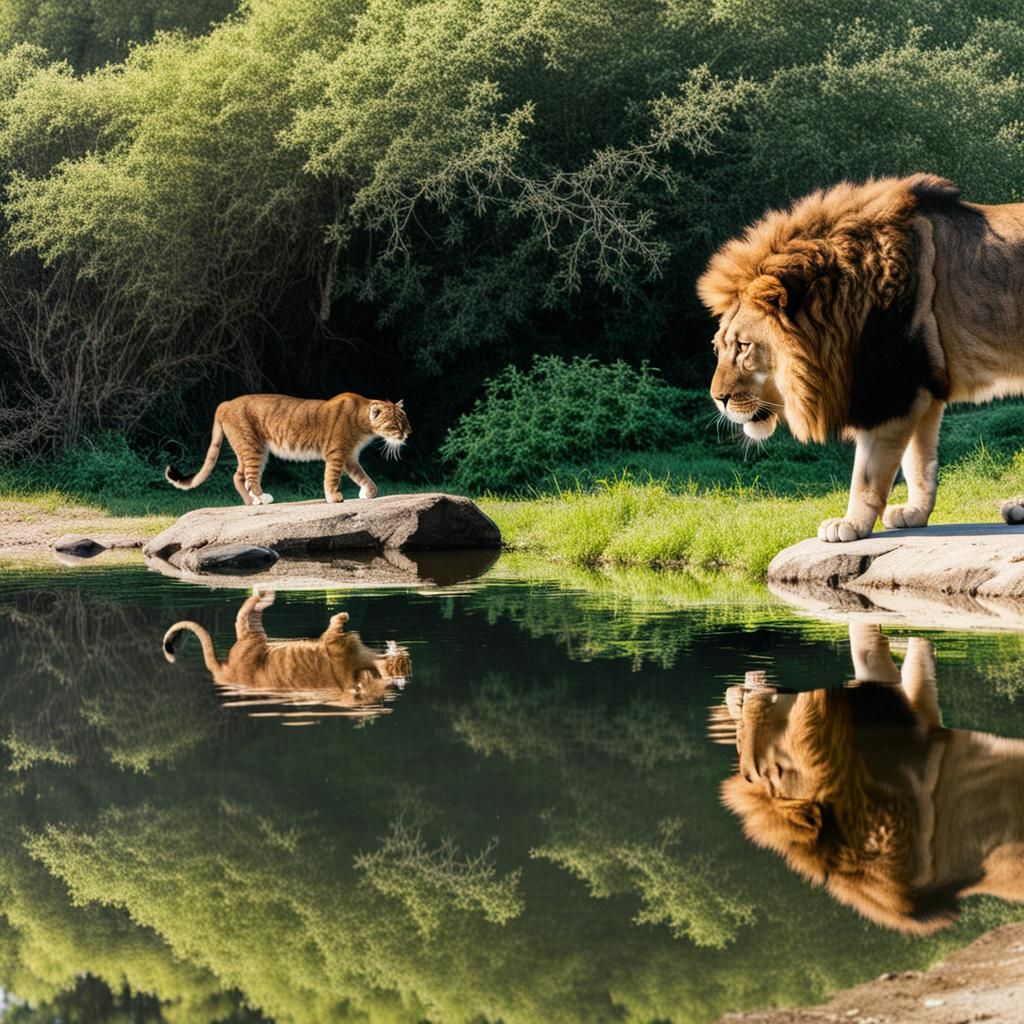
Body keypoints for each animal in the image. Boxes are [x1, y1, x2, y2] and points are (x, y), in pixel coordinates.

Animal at [163, 590, 412, 722]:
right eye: (406, 662)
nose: (406, 653)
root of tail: (226, 676)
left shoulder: (332, 642)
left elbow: (334, 626)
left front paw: (342, 616)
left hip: (252, 640)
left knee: (245, 616)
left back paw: (263, 595)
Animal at [698, 174, 1024, 542]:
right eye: (718, 347)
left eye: (743, 347)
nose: (719, 399)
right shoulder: (920, 386)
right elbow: (918, 462)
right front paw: (914, 513)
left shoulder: (890, 391)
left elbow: (867, 472)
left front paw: (849, 524)